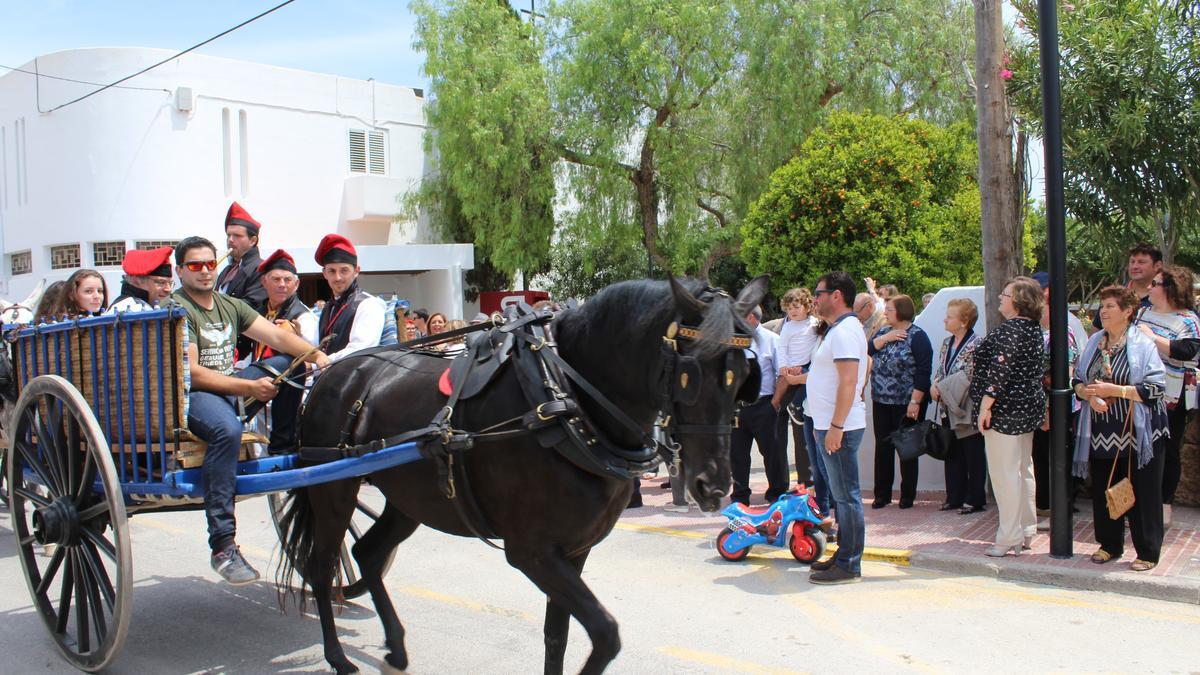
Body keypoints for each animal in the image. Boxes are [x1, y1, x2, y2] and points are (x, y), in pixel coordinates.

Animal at [276, 275, 768, 672]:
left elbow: (559, 636)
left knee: (369, 553)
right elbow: (605, 634)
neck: (564, 400)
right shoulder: (531, 552)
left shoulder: (573, 550)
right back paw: (337, 656)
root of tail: (331, 372)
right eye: (688, 373)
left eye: (743, 375)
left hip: (410, 500)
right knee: (321, 565)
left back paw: (395, 647)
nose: (713, 485)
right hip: (332, 489)